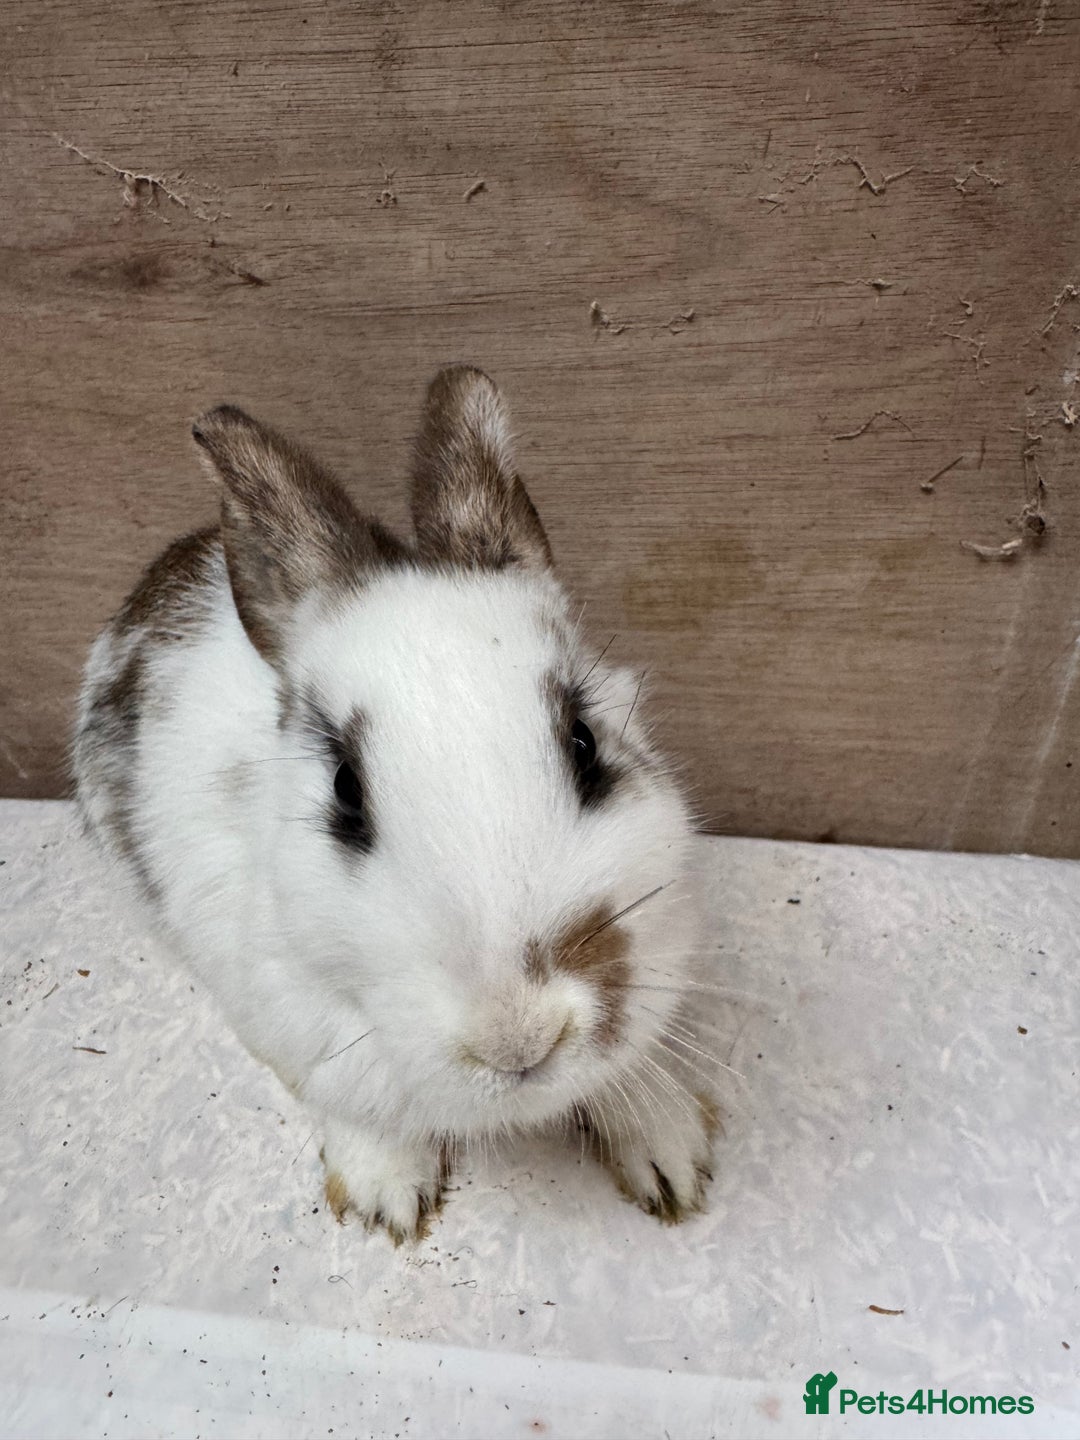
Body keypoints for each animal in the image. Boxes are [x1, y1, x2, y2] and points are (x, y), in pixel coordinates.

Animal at [73, 365, 718, 1243]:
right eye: (346, 790)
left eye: (585, 743)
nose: (518, 1036)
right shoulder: (296, 1026)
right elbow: (356, 1109)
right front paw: (387, 1197)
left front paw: (672, 1157)